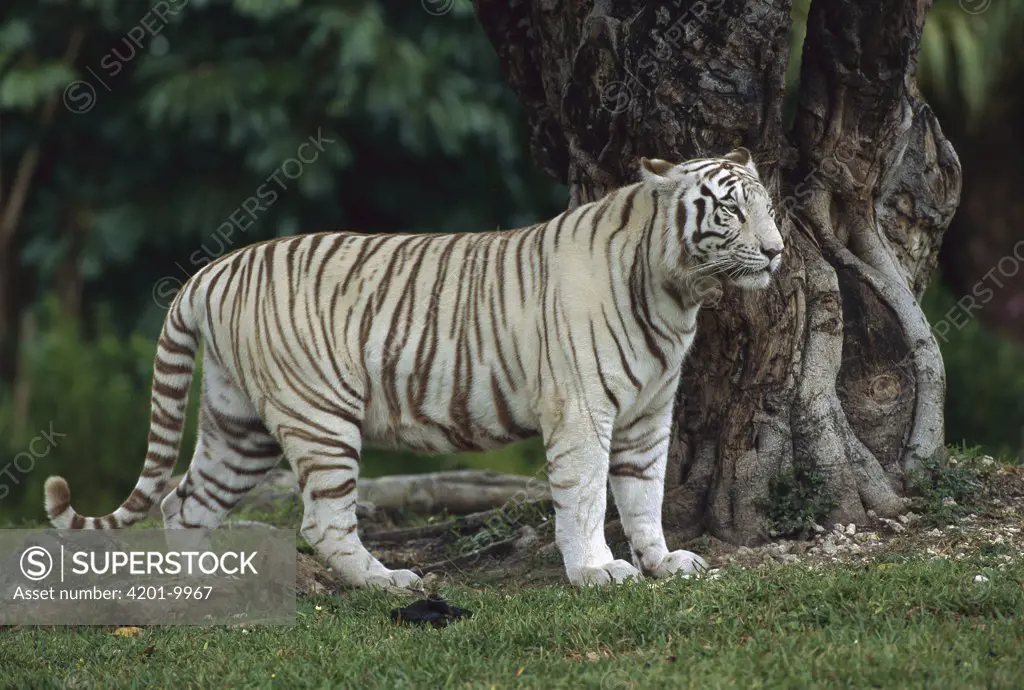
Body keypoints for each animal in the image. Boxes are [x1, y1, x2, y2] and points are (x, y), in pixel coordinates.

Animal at [44, 147, 782, 589]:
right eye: (728, 208)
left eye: (768, 207)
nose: (777, 250)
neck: (676, 294)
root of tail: (215, 269)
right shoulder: (582, 411)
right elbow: (586, 496)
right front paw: (597, 572)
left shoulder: (649, 413)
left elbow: (643, 495)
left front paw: (663, 561)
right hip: (319, 418)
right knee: (320, 522)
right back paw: (388, 582)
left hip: (238, 425)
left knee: (184, 500)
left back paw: (198, 585)